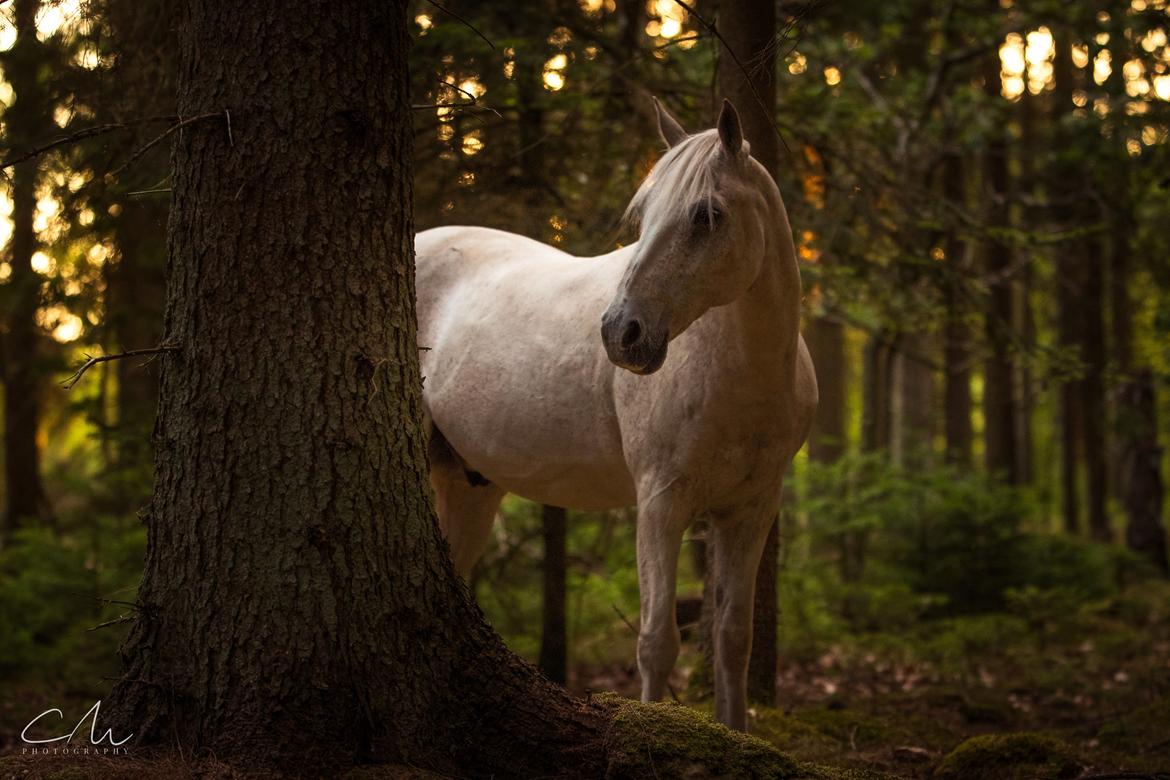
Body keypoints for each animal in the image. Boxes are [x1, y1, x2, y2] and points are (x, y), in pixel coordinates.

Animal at [418, 99, 814, 734]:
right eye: (643, 215)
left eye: (707, 214)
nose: (620, 332)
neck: (738, 377)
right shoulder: (659, 503)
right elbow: (656, 642)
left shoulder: (751, 509)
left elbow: (733, 639)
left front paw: (737, 735)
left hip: (467, 485)